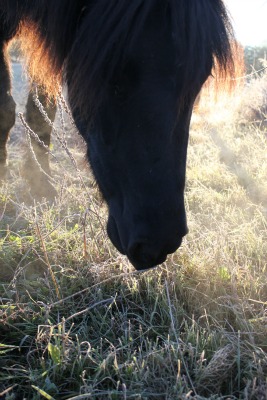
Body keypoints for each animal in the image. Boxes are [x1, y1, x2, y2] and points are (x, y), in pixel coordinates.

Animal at [0, 0, 236, 268]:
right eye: (112, 71)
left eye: (200, 79)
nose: (158, 244)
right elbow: (5, 110)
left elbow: (42, 113)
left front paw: (41, 185)